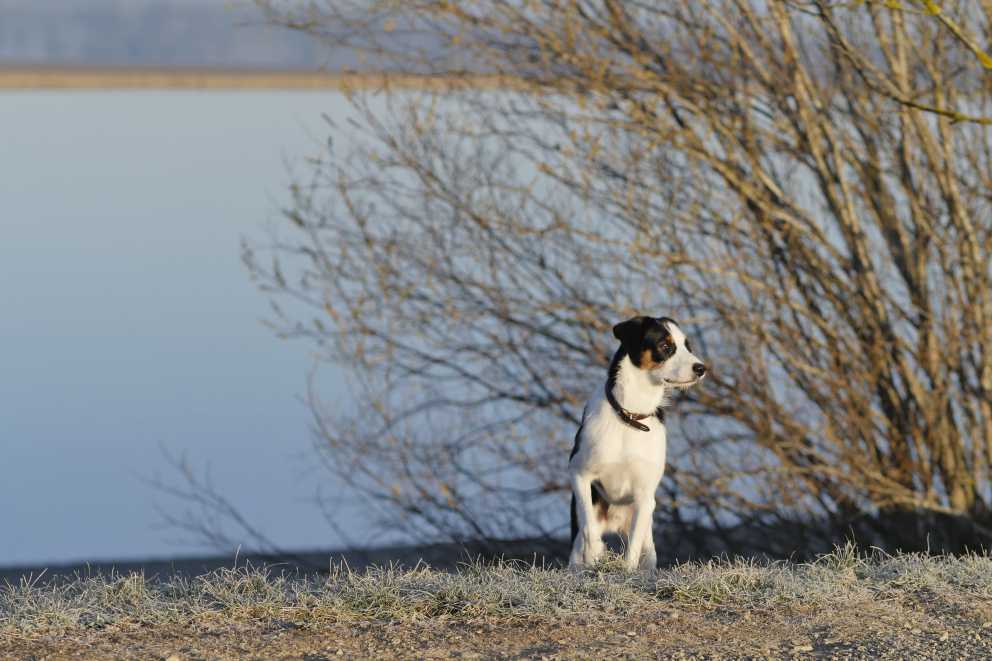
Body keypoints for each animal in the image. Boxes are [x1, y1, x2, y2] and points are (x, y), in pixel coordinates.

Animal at [564, 314, 704, 572]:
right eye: (665, 346)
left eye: (688, 347)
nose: (701, 368)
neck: (631, 416)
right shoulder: (580, 474)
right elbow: (589, 527)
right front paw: (596, 553)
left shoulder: (645, 494)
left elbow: (633, 549)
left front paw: (627, 572)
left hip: (647, 521)